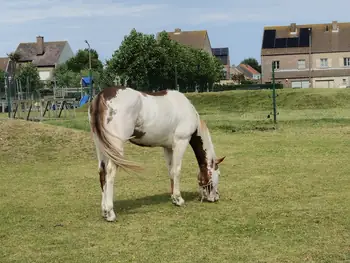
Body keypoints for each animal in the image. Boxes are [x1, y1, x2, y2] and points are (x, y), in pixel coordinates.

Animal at [87, 87, 224, 223]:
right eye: (218, 174)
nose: (216, 197)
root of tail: (101, 96)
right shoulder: (181, 142)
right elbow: (177, 170)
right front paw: (179, 199)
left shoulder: (168, 147)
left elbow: (171, 171)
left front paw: (174, 198)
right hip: (115, 147)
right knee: (110, 173)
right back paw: (110, 212)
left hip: (102, 147)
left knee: (102, 173)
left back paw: (104, 211)